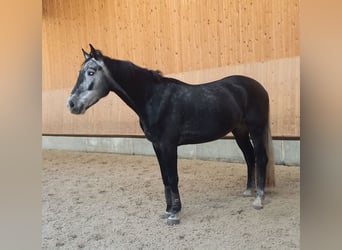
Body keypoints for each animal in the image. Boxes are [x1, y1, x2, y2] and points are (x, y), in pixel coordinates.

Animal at [67, 44, 276, 226]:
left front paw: (175, 213)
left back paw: (259, 199)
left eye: (91, 72)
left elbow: (173, 177)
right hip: (239, 131)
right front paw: (167, 209)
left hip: (256, 129)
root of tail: (260, 87)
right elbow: (165, 178)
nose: (71, 104)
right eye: (79, 72)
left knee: (261, 158)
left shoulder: (168, 145)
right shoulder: (157, 145)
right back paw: (248, 191)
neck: (153, 98)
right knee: (249, 157)